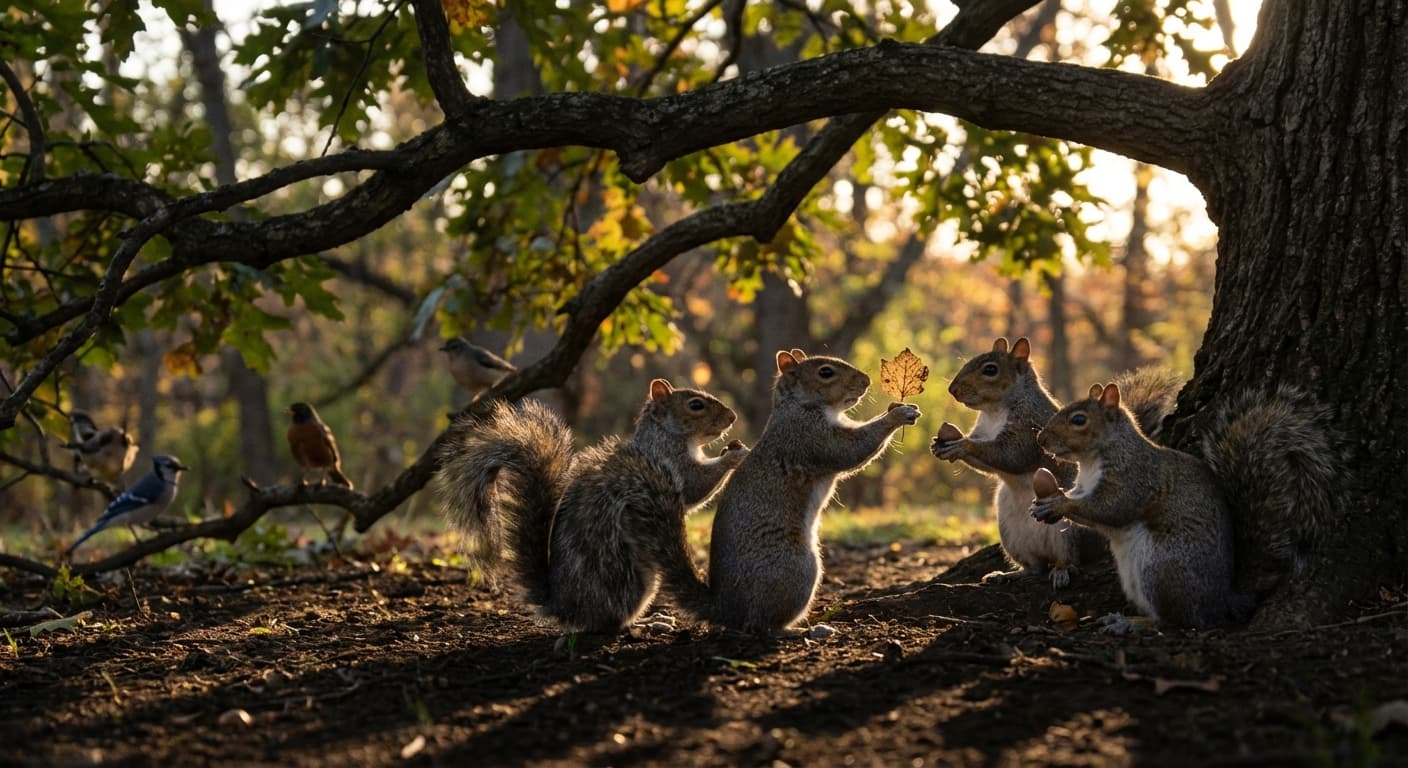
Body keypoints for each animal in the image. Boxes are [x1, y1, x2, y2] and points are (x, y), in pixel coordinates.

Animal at [434, 379, 748, 635]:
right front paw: (735, 455)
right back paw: (647, 623)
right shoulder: (671, 464)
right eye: (695, 405)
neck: (665, 434)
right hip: (628, 578)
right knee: (611, 623)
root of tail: (563, 606)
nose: (732, 417)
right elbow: (697, 487)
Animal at [691, 349, 921, 636]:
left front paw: (894, 407)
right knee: (759, 624)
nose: (866, 381)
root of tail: (726, 609)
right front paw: (896, 415)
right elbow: (852, 449)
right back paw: (794, 630)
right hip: (797, 568)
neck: (799, 405)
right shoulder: (810, 437)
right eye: (825, 372)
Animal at [930, 337, 1182, 588]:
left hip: (1068, 534)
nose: (953, 390)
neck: (994, 411)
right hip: (1010, 534)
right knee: (1035, 568)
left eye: (990, 370)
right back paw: (1009, 574)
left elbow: (1009, 456)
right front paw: (942, 445)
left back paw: (1062, 571)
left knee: (1069, 559)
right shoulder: (982, 430)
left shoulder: (1027, 429)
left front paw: (962, 445)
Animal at [1029, 382, 1341, 629]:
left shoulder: (1133, 478)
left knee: (1174, 621)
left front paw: (1059, 505)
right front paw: (1043, 503)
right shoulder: (1083, 485)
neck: (1092, 460)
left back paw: (1131, 623)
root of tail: (1220, 600)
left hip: (1161, 569)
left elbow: (1109, 508)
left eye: (1079, 419)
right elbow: (1083, 501)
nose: (1041, 439)